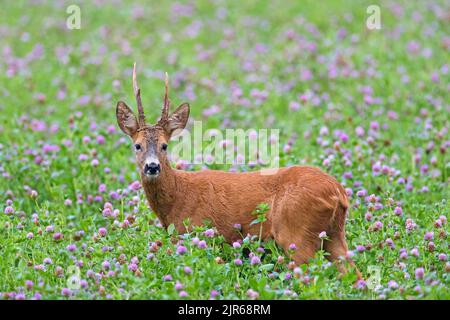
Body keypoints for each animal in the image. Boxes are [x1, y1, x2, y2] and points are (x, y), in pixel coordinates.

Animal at [116, 63, 362, 278]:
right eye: (137, 145)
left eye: (165, 145)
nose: (152, 166)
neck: (177, 198)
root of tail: (338, 193)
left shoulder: (198, 234)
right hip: (334, 235)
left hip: (298, 233)